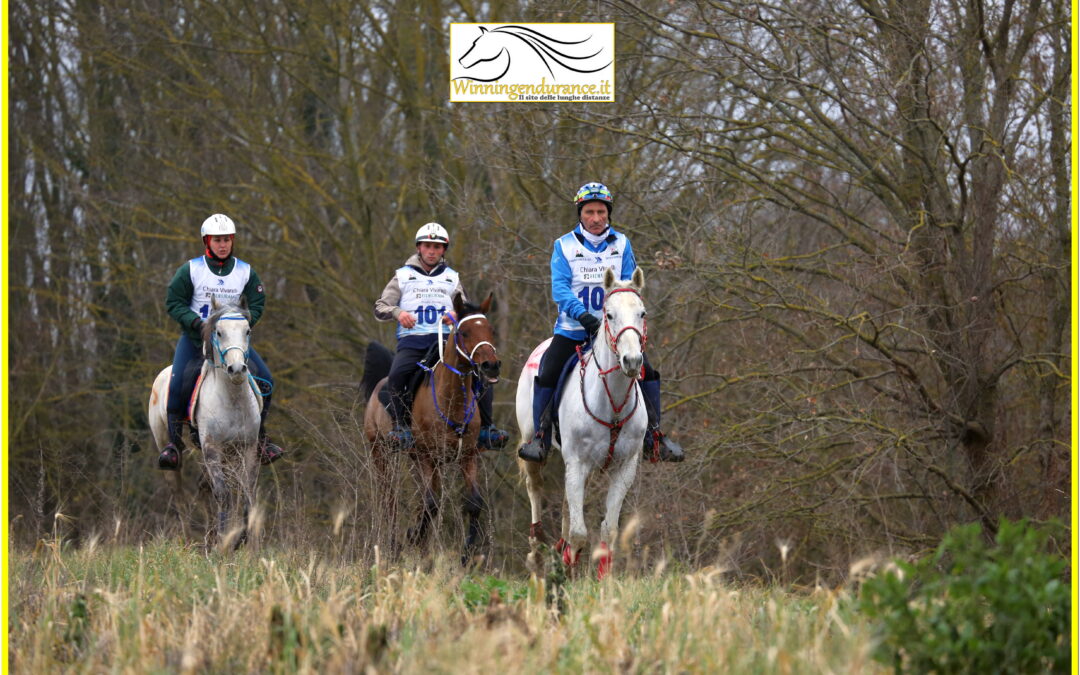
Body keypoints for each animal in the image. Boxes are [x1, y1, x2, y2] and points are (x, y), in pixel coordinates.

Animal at [149, 295, 262, 548]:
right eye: (219, 332)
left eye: (247, 331)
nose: (237, 369)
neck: (233, 399)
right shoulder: (212, 448)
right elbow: (222, 493)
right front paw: (223, 540)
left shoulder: (247, 449)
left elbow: (246, 493)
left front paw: (242, 541)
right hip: (170, 448)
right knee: (180, 496)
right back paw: (190, 541)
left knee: (203, 488)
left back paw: (208, 537)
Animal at [360, 291, 498, 561]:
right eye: (464, 332)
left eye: (490, 330)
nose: (491, 365)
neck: (452, 400)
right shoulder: (427, 455)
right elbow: (432, 503)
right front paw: (413, 535)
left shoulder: (467, 455)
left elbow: (474, 502)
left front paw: (467, 554)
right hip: (381, 453)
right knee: (389, 499)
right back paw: (395, 545)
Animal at [516, 265, 648, 574]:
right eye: (608, 314)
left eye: (642, 313)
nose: (632, 361)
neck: (613, 404)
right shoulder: (577, 463)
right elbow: (579, 534)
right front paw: (566, 567)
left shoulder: (624, 468)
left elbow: (609, 530)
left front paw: (602, 577)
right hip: (532, 445)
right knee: (534, 488)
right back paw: (537, 551)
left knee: (567, 505)